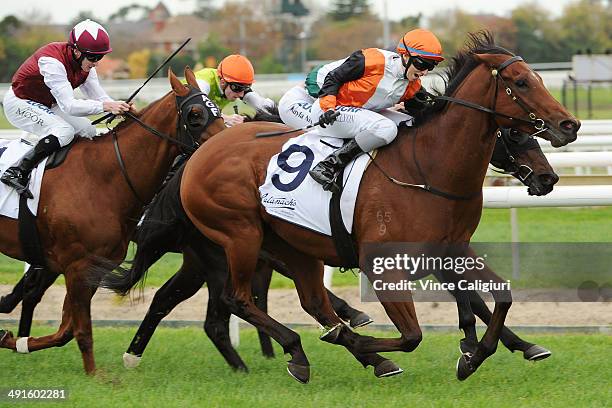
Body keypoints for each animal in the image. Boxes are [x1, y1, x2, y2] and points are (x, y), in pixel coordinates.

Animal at [0, 67, 225, 372]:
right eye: (195, 114)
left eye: (218, 111)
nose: (227, 145)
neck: (105, 176)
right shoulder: (77, 267)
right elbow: (81, 330)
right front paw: (98, 377)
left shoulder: (93, 268)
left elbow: (66, 331)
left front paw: (15, 340)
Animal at [177, 31, 580, 382]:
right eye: (521, 82)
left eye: (539, 78)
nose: (570, 125)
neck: (428, 168)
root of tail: (204, 150)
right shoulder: (383, 267)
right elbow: (413, 335)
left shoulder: (453, 250)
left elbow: (500, 297)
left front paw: (477, 354)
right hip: (241, 235)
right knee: (239, 298)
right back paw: (323, 345)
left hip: (292, 244)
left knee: (314, 302)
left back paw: (326, 353)